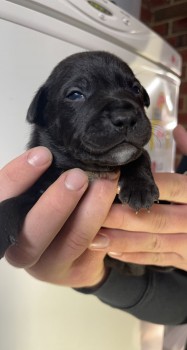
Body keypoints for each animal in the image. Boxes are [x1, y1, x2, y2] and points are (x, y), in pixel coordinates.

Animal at [0, 51, 159, 276]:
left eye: (136, 89)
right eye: (75, 95)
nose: (125, 117)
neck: (90, 169)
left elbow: (140, 156)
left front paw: (140, 187)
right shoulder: (42, 189)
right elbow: (15, 201)